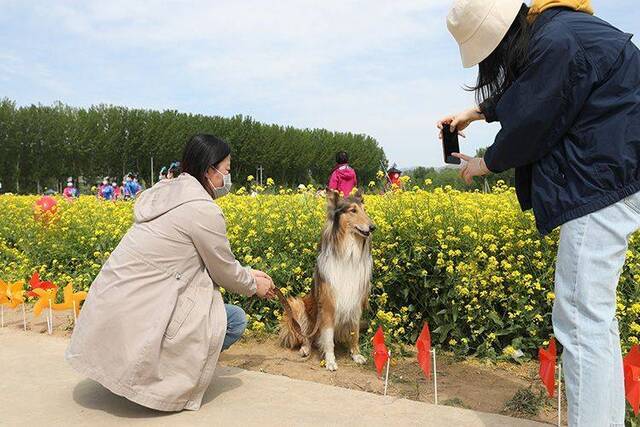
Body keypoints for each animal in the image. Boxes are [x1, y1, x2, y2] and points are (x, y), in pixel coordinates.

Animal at [278, 191, 376, 372]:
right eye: (353, 210)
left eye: (364, 209)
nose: (373, 227)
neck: (348, 254)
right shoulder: (328, 305)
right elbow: (328, 338)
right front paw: (330, 361)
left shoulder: (355, 304)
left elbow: (355, 333)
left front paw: (356, 354)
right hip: (297, 305)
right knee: (307, 336)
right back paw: (305, 348)